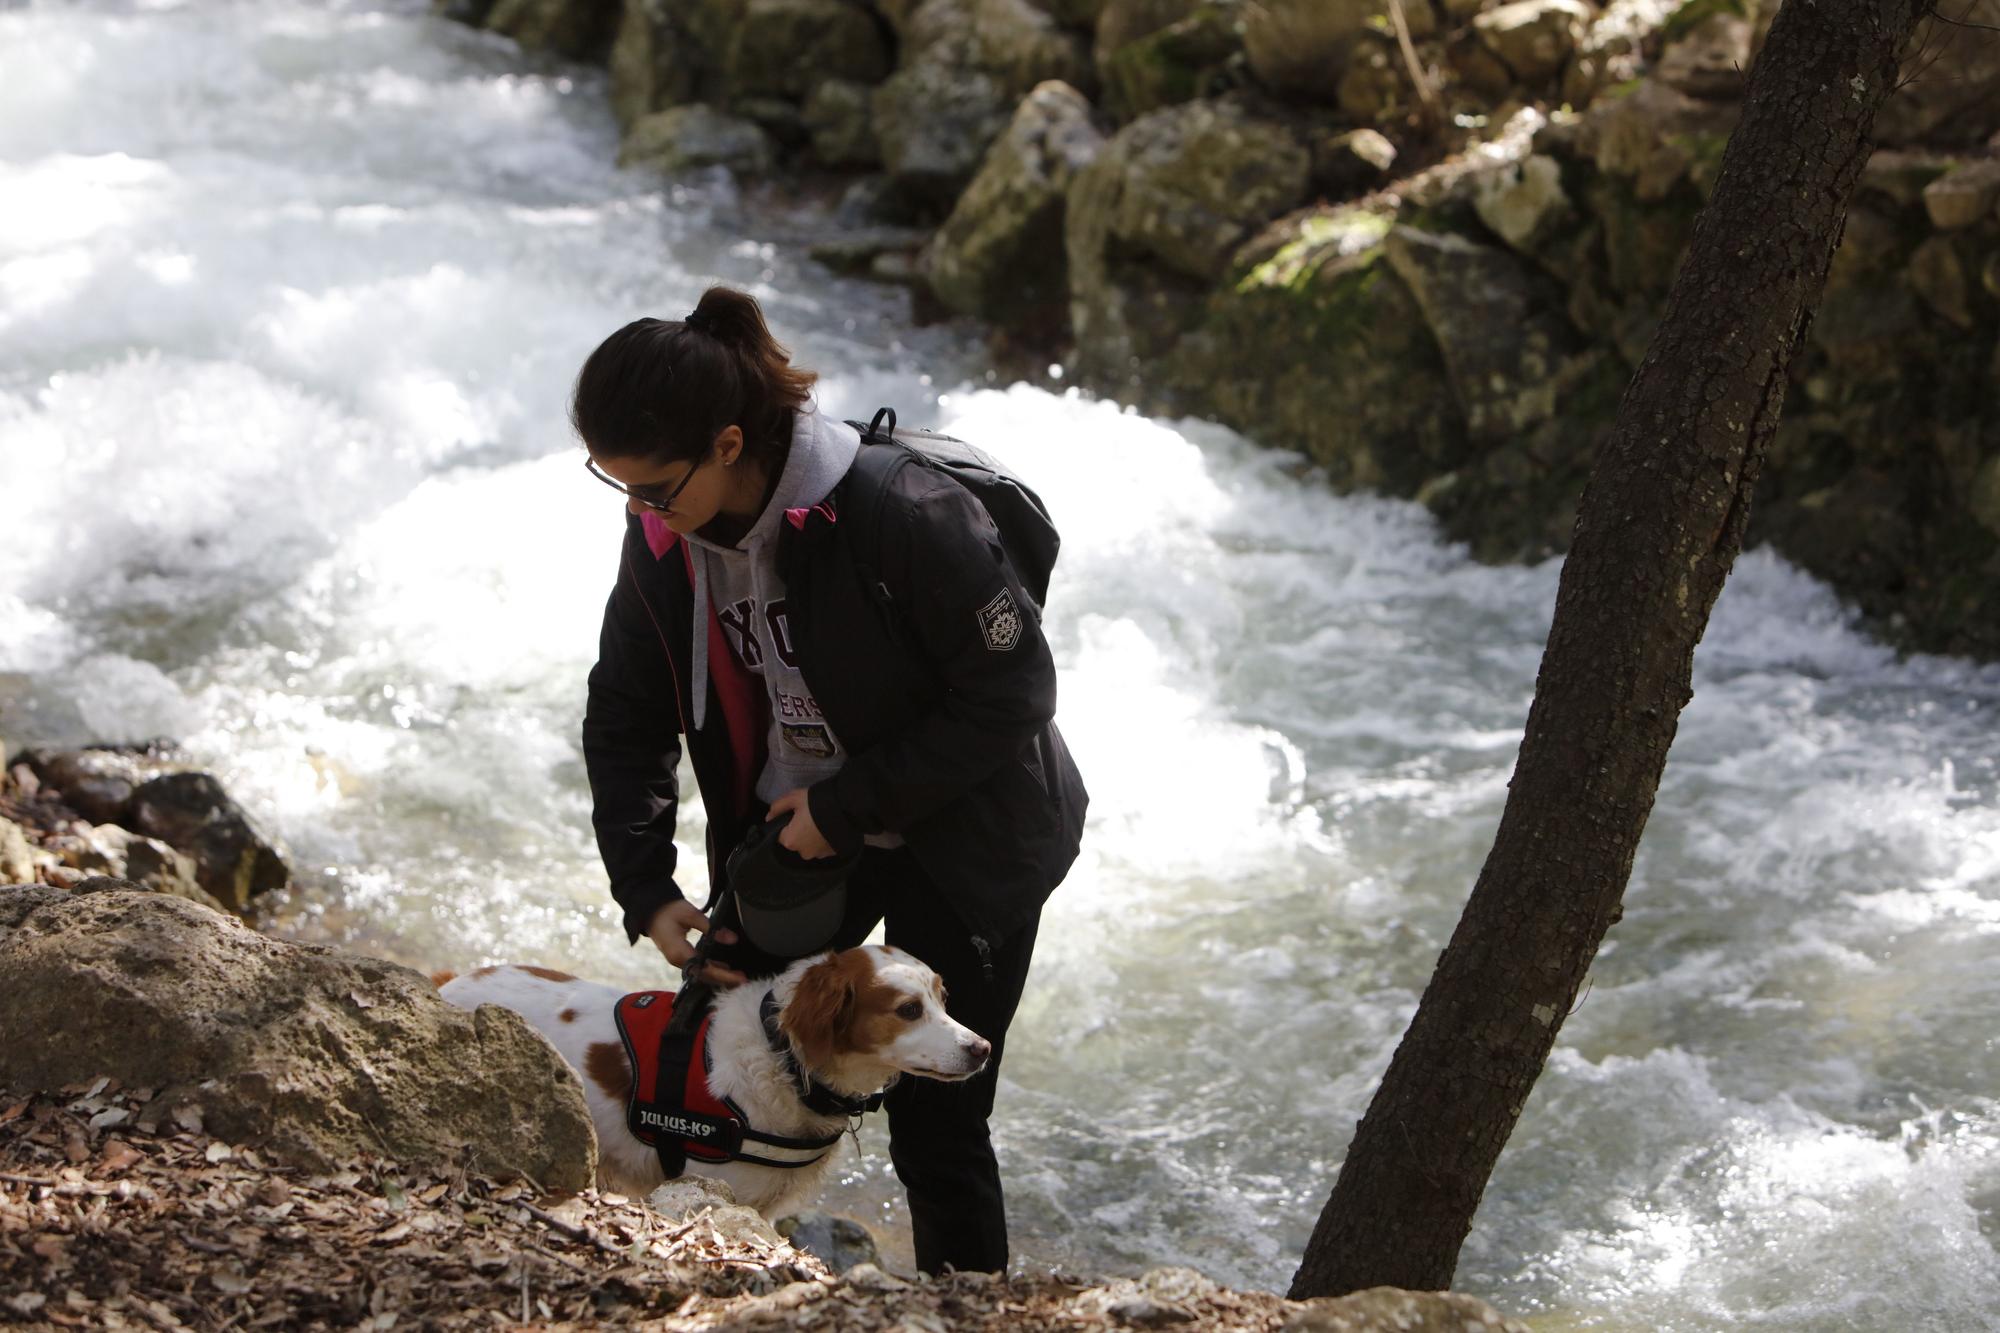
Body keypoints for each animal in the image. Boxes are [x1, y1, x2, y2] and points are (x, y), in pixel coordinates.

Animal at [436, 940, 984, 1208]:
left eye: (942, 998)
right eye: (908, 1009)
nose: (982, 1049)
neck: (783, 1059)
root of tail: (450, 982)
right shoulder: (717, 1189)